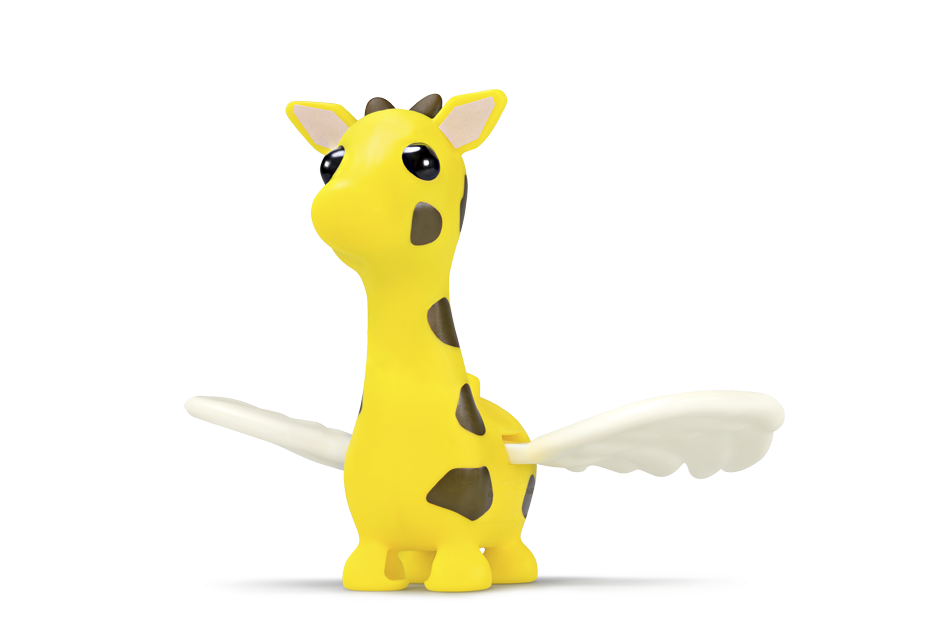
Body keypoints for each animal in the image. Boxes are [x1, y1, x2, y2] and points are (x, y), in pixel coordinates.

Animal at [285, 90, 538, 592]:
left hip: (515, 518)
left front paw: (459, 583)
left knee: (509, 542)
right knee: (419, 551)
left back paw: (514, 575)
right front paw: (368, 582)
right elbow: (367, 558)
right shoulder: (372, 530)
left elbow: (461, 555)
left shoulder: (460, 525)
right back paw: (418, 573)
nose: (341, 200)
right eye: (329, 162)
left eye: (422, 160)